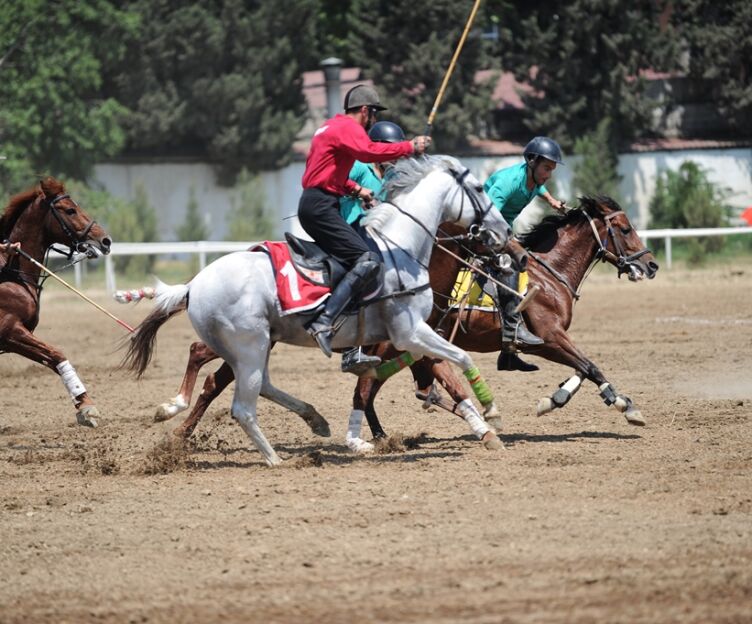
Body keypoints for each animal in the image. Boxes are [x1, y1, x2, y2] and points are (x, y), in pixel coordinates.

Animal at [0, 177, 112, 426]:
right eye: (70, 210)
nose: (106, 240)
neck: (11, 276)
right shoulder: (11, 330)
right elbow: (56, 353)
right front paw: (88, 407)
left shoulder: (15, 339)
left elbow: (52, 360)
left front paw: (84, 406)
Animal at [122, 155, 519, 465]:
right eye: (481, 188)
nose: (507, 239)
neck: (400, 250)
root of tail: (194, 286)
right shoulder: (410, 333)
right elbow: (460, 359)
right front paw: (491, 412)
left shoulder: (407, 339)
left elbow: (426, 373)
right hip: (249, 346)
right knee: (240, 402)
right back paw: (273, 458)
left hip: (257, 345)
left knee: (255, 383)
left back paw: (313, 420)